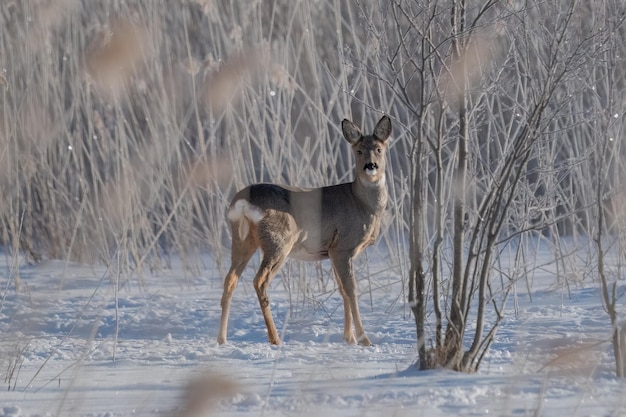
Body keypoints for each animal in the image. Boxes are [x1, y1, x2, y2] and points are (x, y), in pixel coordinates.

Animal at [216, 114, 390, 344]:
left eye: (379, 148)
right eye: (359, 150)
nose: (371, 166)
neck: (363, 204)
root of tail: (243, 202)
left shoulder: (332, 251)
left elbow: (342, 290)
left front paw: (348, 338)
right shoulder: (344, 246)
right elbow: (351, 290)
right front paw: (363, 340)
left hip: (241, 240)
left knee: (230, 280)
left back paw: (222, 338)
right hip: (278, 241)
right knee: (259, 281)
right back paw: (275, 339)